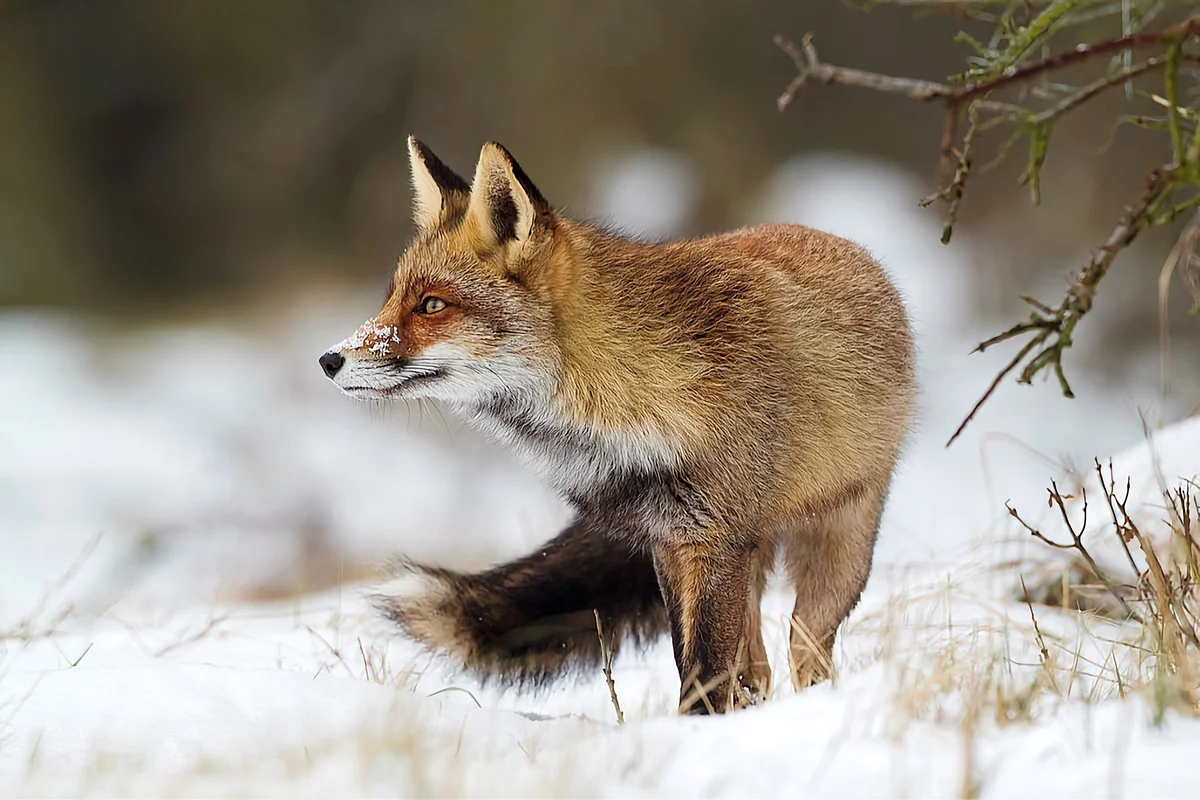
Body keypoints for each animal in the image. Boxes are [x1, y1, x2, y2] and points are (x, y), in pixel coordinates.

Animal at [321, 136, 916, 714]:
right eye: (392, 299)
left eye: (432, 305)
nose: (329, 359)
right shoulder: (670, 543)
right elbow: (689, 660)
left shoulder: (713, 541)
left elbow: (704, 669)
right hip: (752, 561)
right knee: (758, 669)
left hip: (836, 552)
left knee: (805, 651)